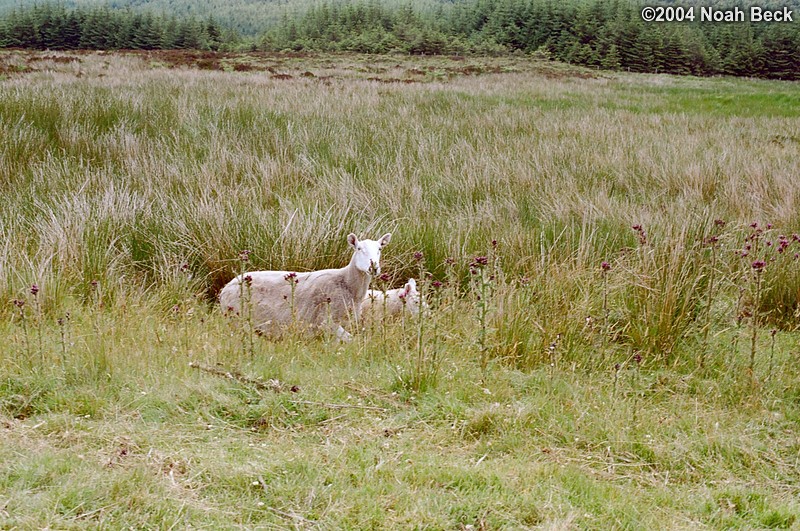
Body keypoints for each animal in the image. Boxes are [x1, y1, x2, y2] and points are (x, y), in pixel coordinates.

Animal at [220, 232, 392, 340]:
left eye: (380, 249)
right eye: (359, 248)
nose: (373, 267)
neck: (348, 284)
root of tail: (225, 288)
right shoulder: (325, 322)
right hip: (238, 320)